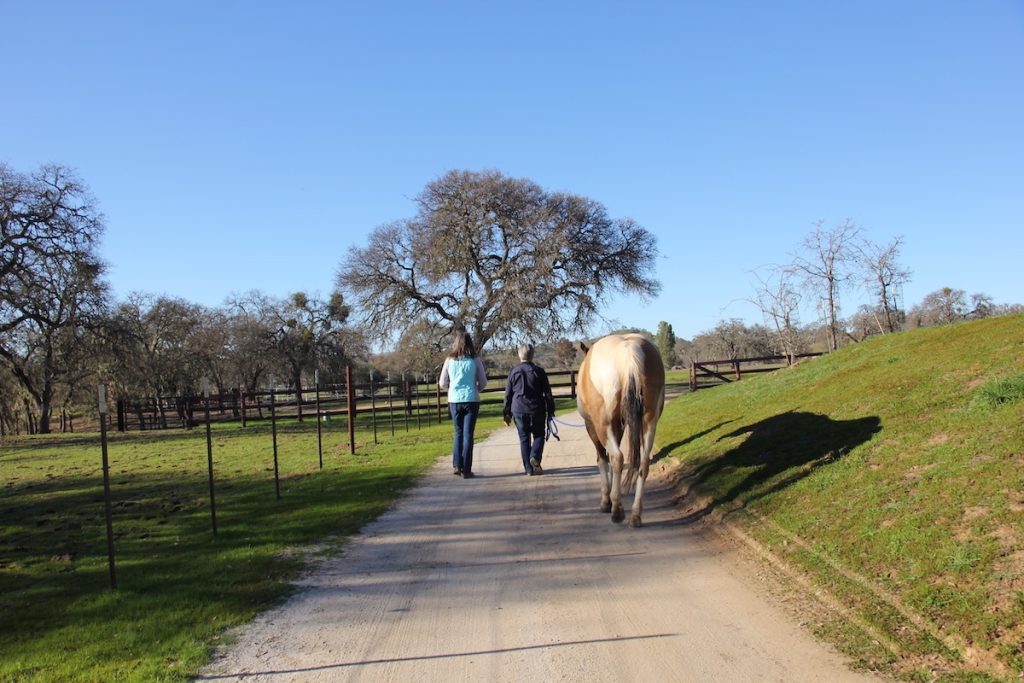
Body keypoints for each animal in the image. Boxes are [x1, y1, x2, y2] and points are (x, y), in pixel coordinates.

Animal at [577, 333, 663, 528]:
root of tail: (629, 350)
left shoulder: (592, 426)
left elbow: (602, 459)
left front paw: (606, 501)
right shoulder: (620, 424)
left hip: (603, 425)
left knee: (617, 458)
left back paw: (616, 510)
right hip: (649, 422)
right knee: (643, 463)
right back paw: (636, 515)